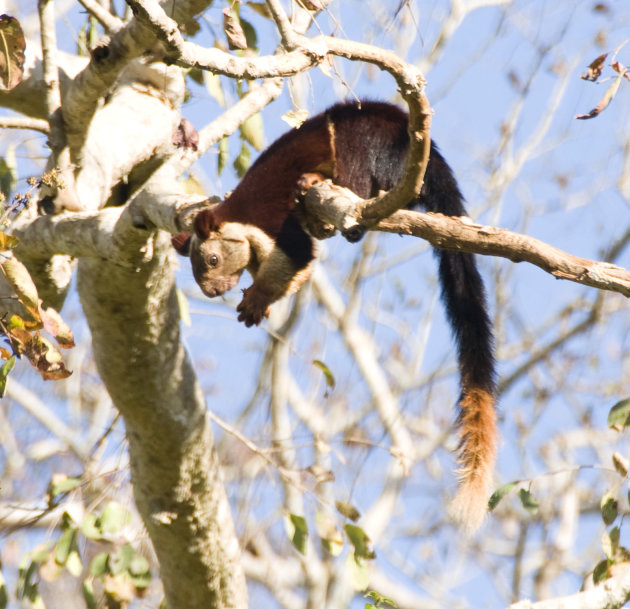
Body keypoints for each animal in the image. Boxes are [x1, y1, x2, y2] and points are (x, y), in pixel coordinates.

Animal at [174, 100, 498, 528]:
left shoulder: (273, 222)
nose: (212, 291)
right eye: (195, 272)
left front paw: (258, 300)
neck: (239, 219)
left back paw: (322, 187)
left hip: (365, 144)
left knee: (362, 186)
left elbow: (297, 255)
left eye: (211, 260)